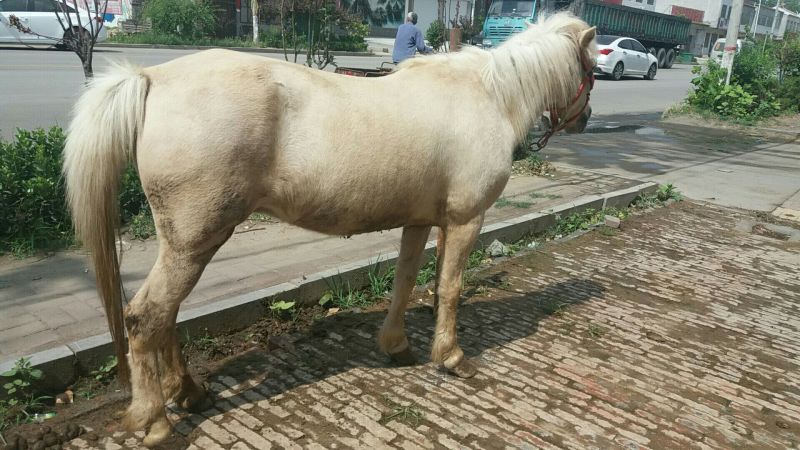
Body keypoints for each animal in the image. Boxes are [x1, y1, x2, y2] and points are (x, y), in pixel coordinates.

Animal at [63, 13, 596, 446]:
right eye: (591, 68)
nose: (585, 118)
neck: (488, 96)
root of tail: (151, 78)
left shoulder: (419, 220)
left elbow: (405, 281)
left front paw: (396, 346)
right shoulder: (466, 219)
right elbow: (449, 288)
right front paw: (450, 356)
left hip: (186, 242)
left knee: (166, 316)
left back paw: (190, 392)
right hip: (195, 241)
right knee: (146, 317)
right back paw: (155, 419)